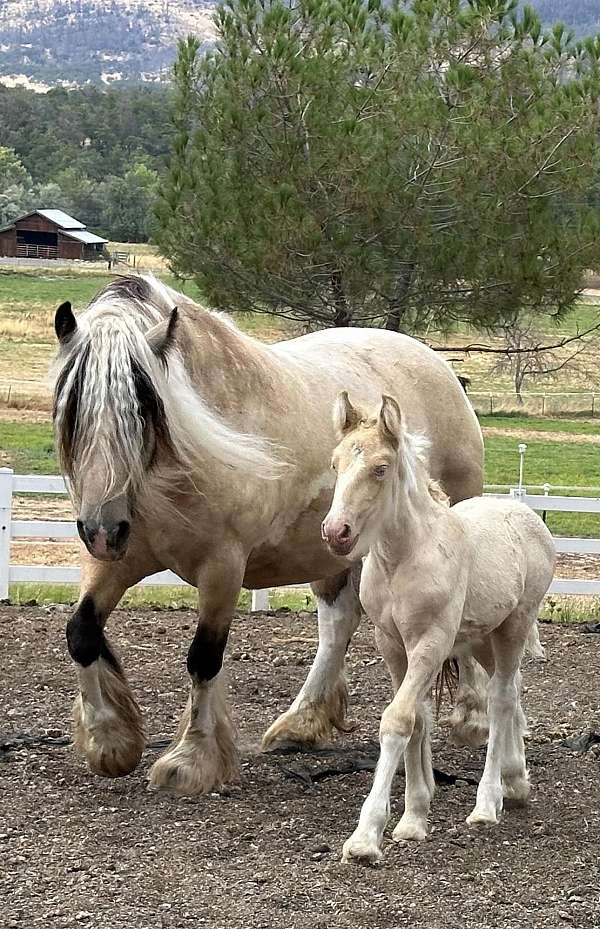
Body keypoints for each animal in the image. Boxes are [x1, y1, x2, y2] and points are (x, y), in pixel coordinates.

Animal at [322, 392, 556, 864]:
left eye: (380, 468)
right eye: (335, 464)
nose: (336, 532)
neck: (404, 557)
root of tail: (524, 511)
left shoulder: (431, 641)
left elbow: (398, 719)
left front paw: (366, 836)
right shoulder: (392, 644)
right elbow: (417, 719)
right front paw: (413, 818)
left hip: (514, 626)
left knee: (502, 699)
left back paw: (487, 802)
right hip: (482, 637)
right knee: (512, 691)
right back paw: (516, 780)